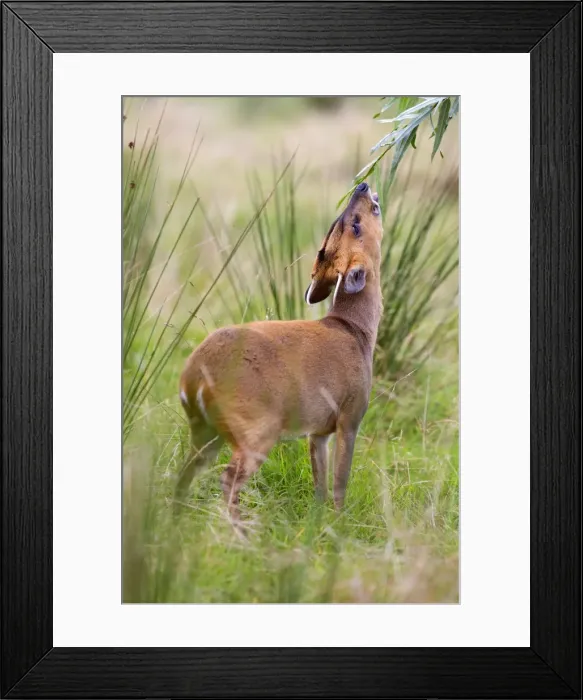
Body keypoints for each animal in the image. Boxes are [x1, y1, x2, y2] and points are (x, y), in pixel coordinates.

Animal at [176, 181, 383, 532]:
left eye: (336, 227)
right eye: (353, 224)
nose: (363, 186)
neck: (356, 332)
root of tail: (193, 378)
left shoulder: (317, 430)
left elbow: (319, 483)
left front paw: (316, 525)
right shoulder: (351, 415)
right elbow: (340, 482)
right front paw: (340, 527)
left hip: (204, 429)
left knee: (184, 474)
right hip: (257, 428)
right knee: (227, 479)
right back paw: (244, 533)